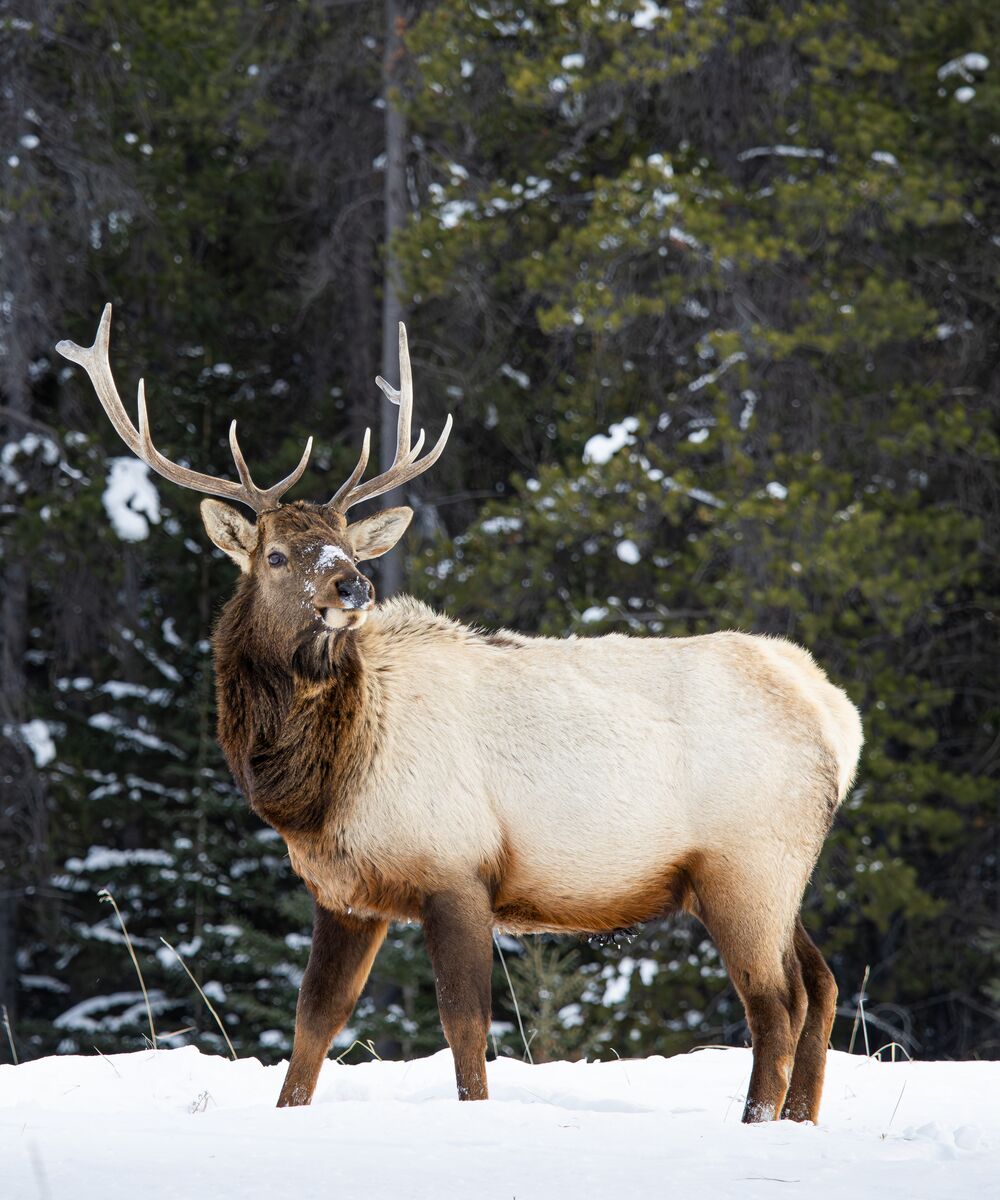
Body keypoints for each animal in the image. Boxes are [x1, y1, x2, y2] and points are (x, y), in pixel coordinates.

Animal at [57, 304, 862, 1123]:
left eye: (344, 543)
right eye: (276, 555)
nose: (353, 584)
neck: (320, 785)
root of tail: (836, 714)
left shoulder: (456, 868)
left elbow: (465, 1028)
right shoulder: (345, 894)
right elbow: (315, 1020)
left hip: (748, 863)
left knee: (776, 1003)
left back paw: (759, 1121)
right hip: (774, 871)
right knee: (821, 984)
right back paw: (799, 1118)